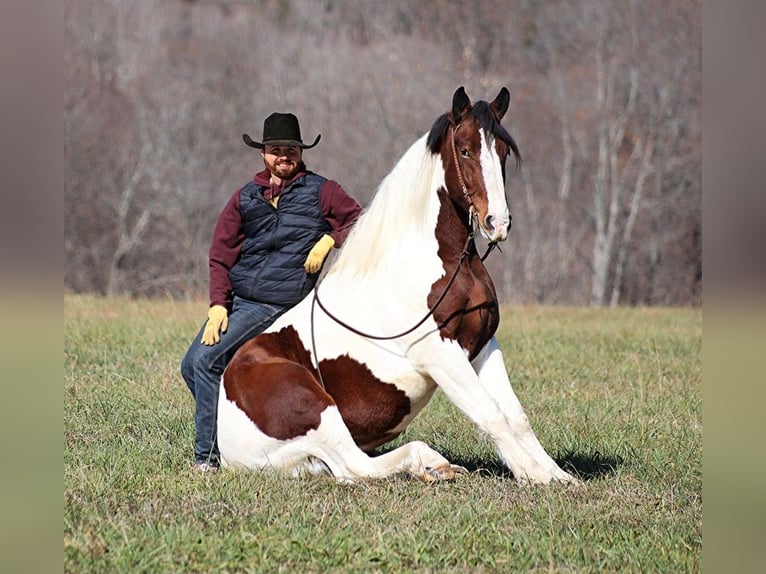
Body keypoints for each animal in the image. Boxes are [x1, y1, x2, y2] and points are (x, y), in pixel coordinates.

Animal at [219, 86, 580, 486]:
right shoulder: (440, 353)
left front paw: (557, 476)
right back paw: (430, 463)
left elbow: (516, 417)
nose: (497, 223)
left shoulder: (483, 344)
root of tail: (226, 449)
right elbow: (491, 416)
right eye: (465, 150)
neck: (431, 263)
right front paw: (532, 476)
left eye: (501, 151)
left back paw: (438, 467)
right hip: (318, 411)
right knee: (355, 467)